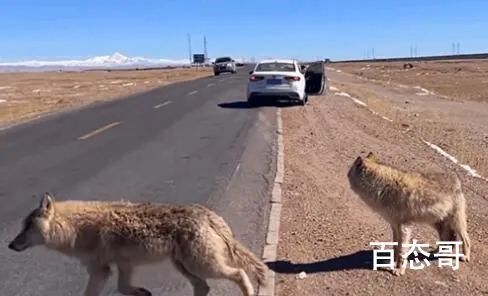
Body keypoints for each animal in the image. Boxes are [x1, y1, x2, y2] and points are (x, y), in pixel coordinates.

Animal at [7, 193, 266, 296]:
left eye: (26, 228)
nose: (10, 245)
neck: (74, 229)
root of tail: (210, 214)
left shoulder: (101, 270)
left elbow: (94, 293)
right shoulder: (123, 265)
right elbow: (123, 288)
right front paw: (141, 292)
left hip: (202, 265)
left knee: (239, 273)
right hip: (185, 266)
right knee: (203, 287)